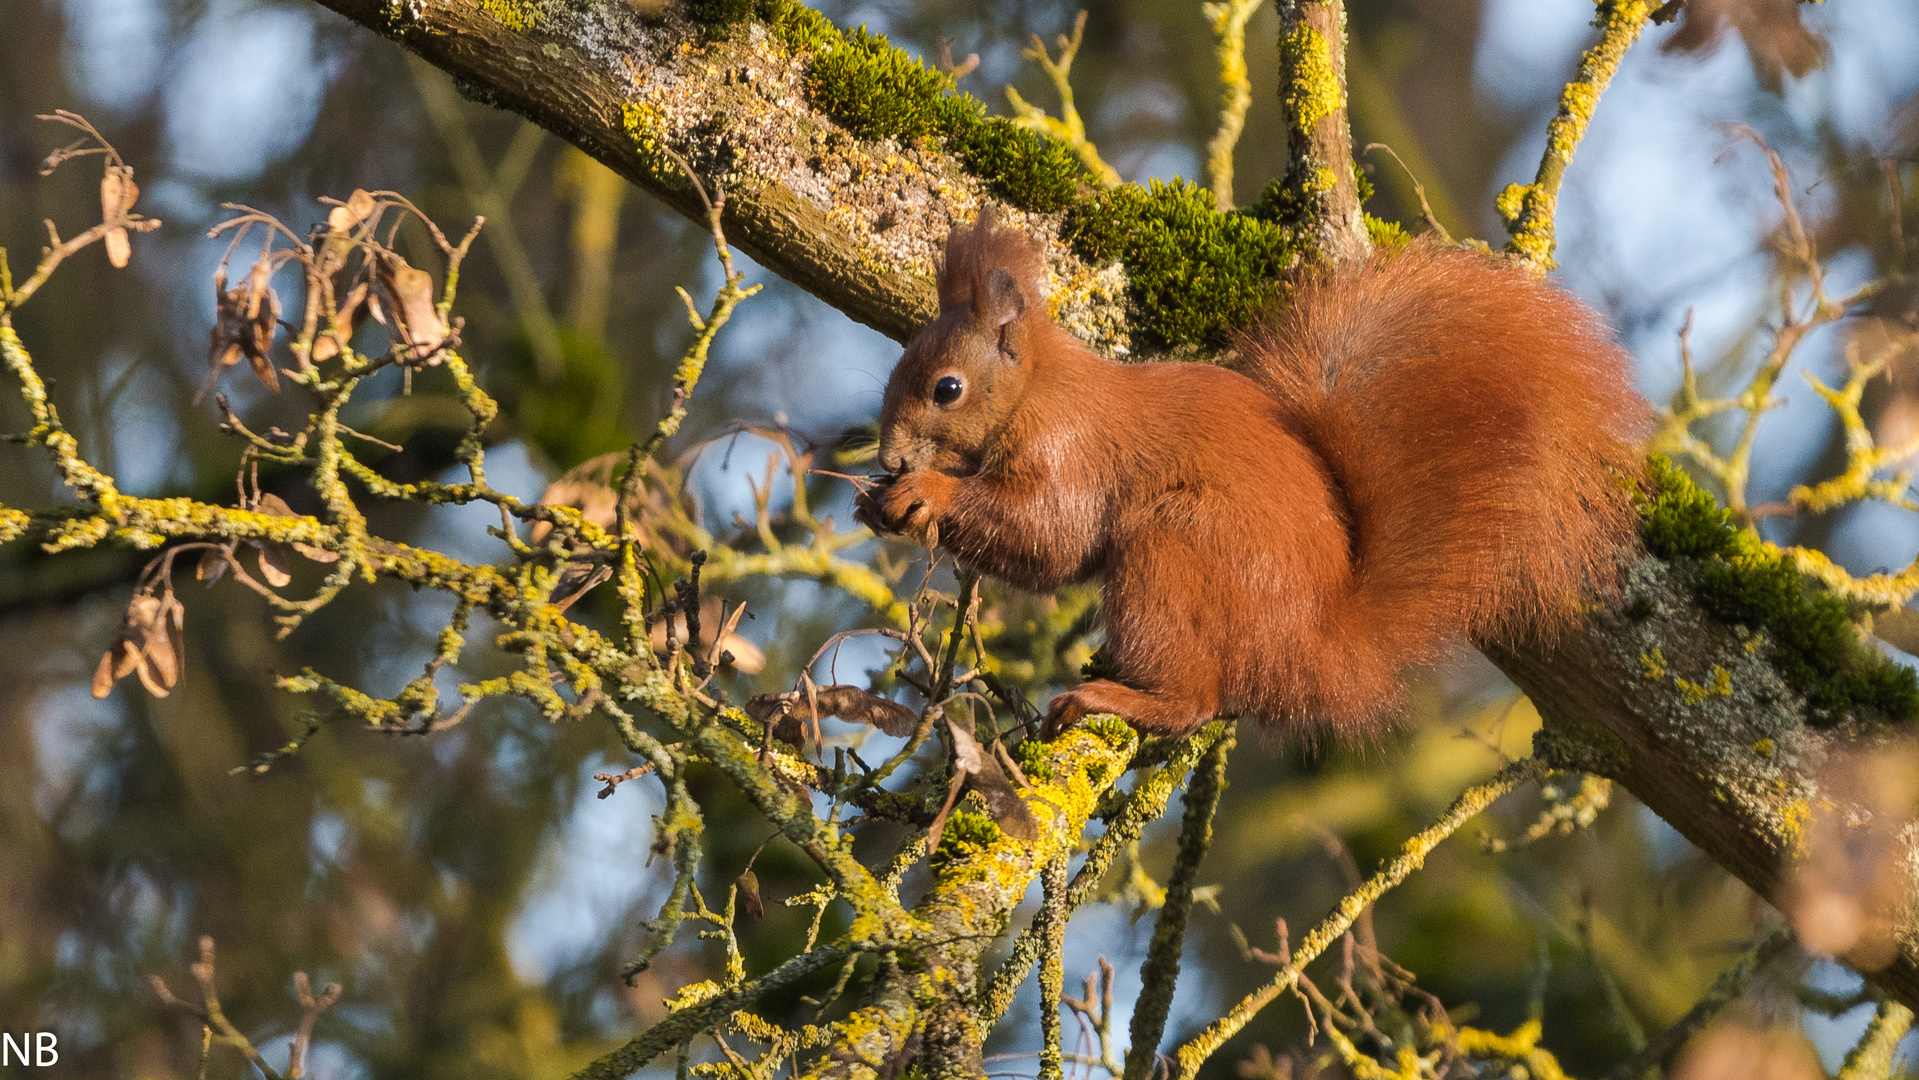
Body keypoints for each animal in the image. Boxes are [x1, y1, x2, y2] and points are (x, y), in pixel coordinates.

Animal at [859, 216, 1650, 748]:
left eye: (947, 389)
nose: (892, 458)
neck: (1037, 389)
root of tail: (1312, 647)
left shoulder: (1069, 449)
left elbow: (1051, 535)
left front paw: (927, 493)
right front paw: (881, 503)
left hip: (1175, 550)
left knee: (1194, 700)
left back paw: (1119, 698)